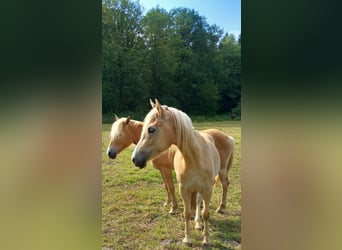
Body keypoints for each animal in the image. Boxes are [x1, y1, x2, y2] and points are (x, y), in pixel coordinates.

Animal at [107, 114, 235, 216]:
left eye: (119, 135)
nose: (110, 153)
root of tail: (228, 137)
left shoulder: (166, 170)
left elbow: (171, 187)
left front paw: (173, 208)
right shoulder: (162, 170)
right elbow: (166, 186)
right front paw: (167, 202)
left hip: (222, 170)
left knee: (225, 184)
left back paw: (221, 208)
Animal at [132, 99, 234, 246]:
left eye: (151, 129)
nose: (135, 159)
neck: (195, 158)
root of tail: (229, 138)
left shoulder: (207, 190)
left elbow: (206, 214)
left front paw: (206, 240)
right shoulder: (184, 189)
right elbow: (186, 213)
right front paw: (187, 239)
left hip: (221, 171)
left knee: (225, 184)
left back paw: (220, 208)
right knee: (198, 201)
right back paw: (198, 223)